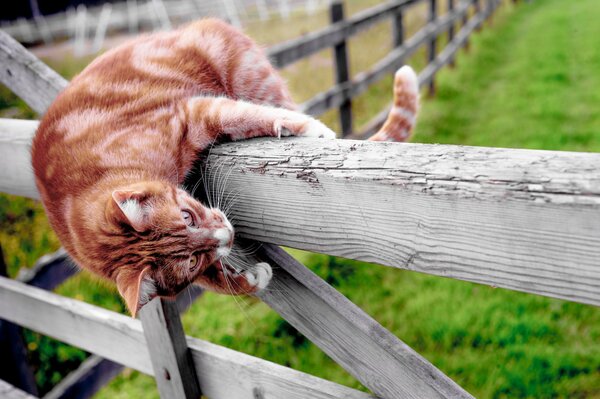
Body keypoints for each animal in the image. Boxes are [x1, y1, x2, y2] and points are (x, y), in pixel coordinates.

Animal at [31, 18, 418, 318]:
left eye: (186, 216)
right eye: (190, 261)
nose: (226, 236)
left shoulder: (193, 111)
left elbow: (248, 115)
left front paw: (311, 128)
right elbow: (215, 280)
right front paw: (249, 280)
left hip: (241, 68)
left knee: (273, 103)